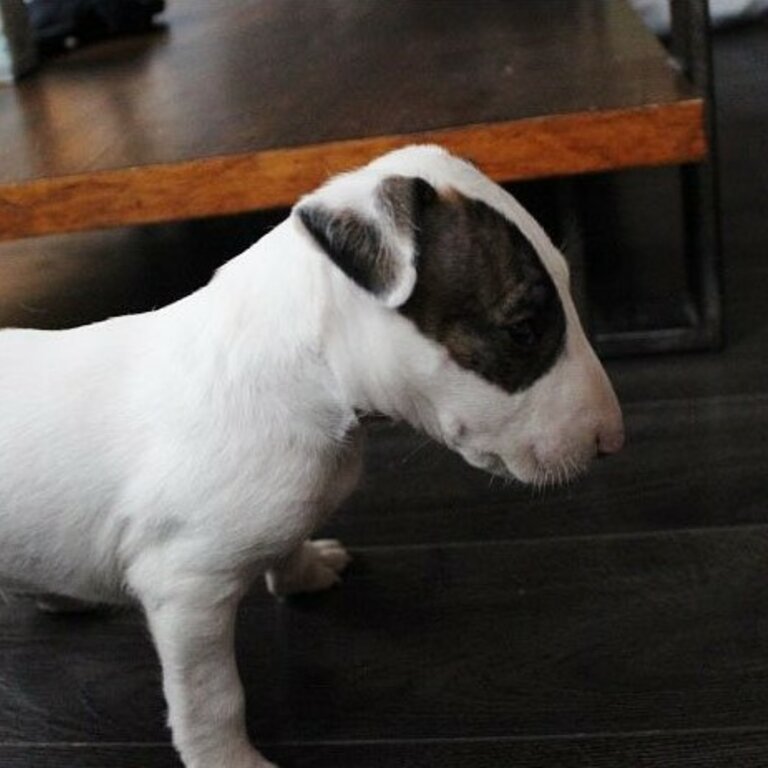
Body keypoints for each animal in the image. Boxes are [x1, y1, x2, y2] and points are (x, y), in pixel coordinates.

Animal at [0, 146, 624, 768]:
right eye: (523, 331)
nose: (611, 442)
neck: (306, 377)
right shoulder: (185, 587)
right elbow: (212, 695)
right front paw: (230, 759)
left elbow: (288, 541)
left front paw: (303, 569)